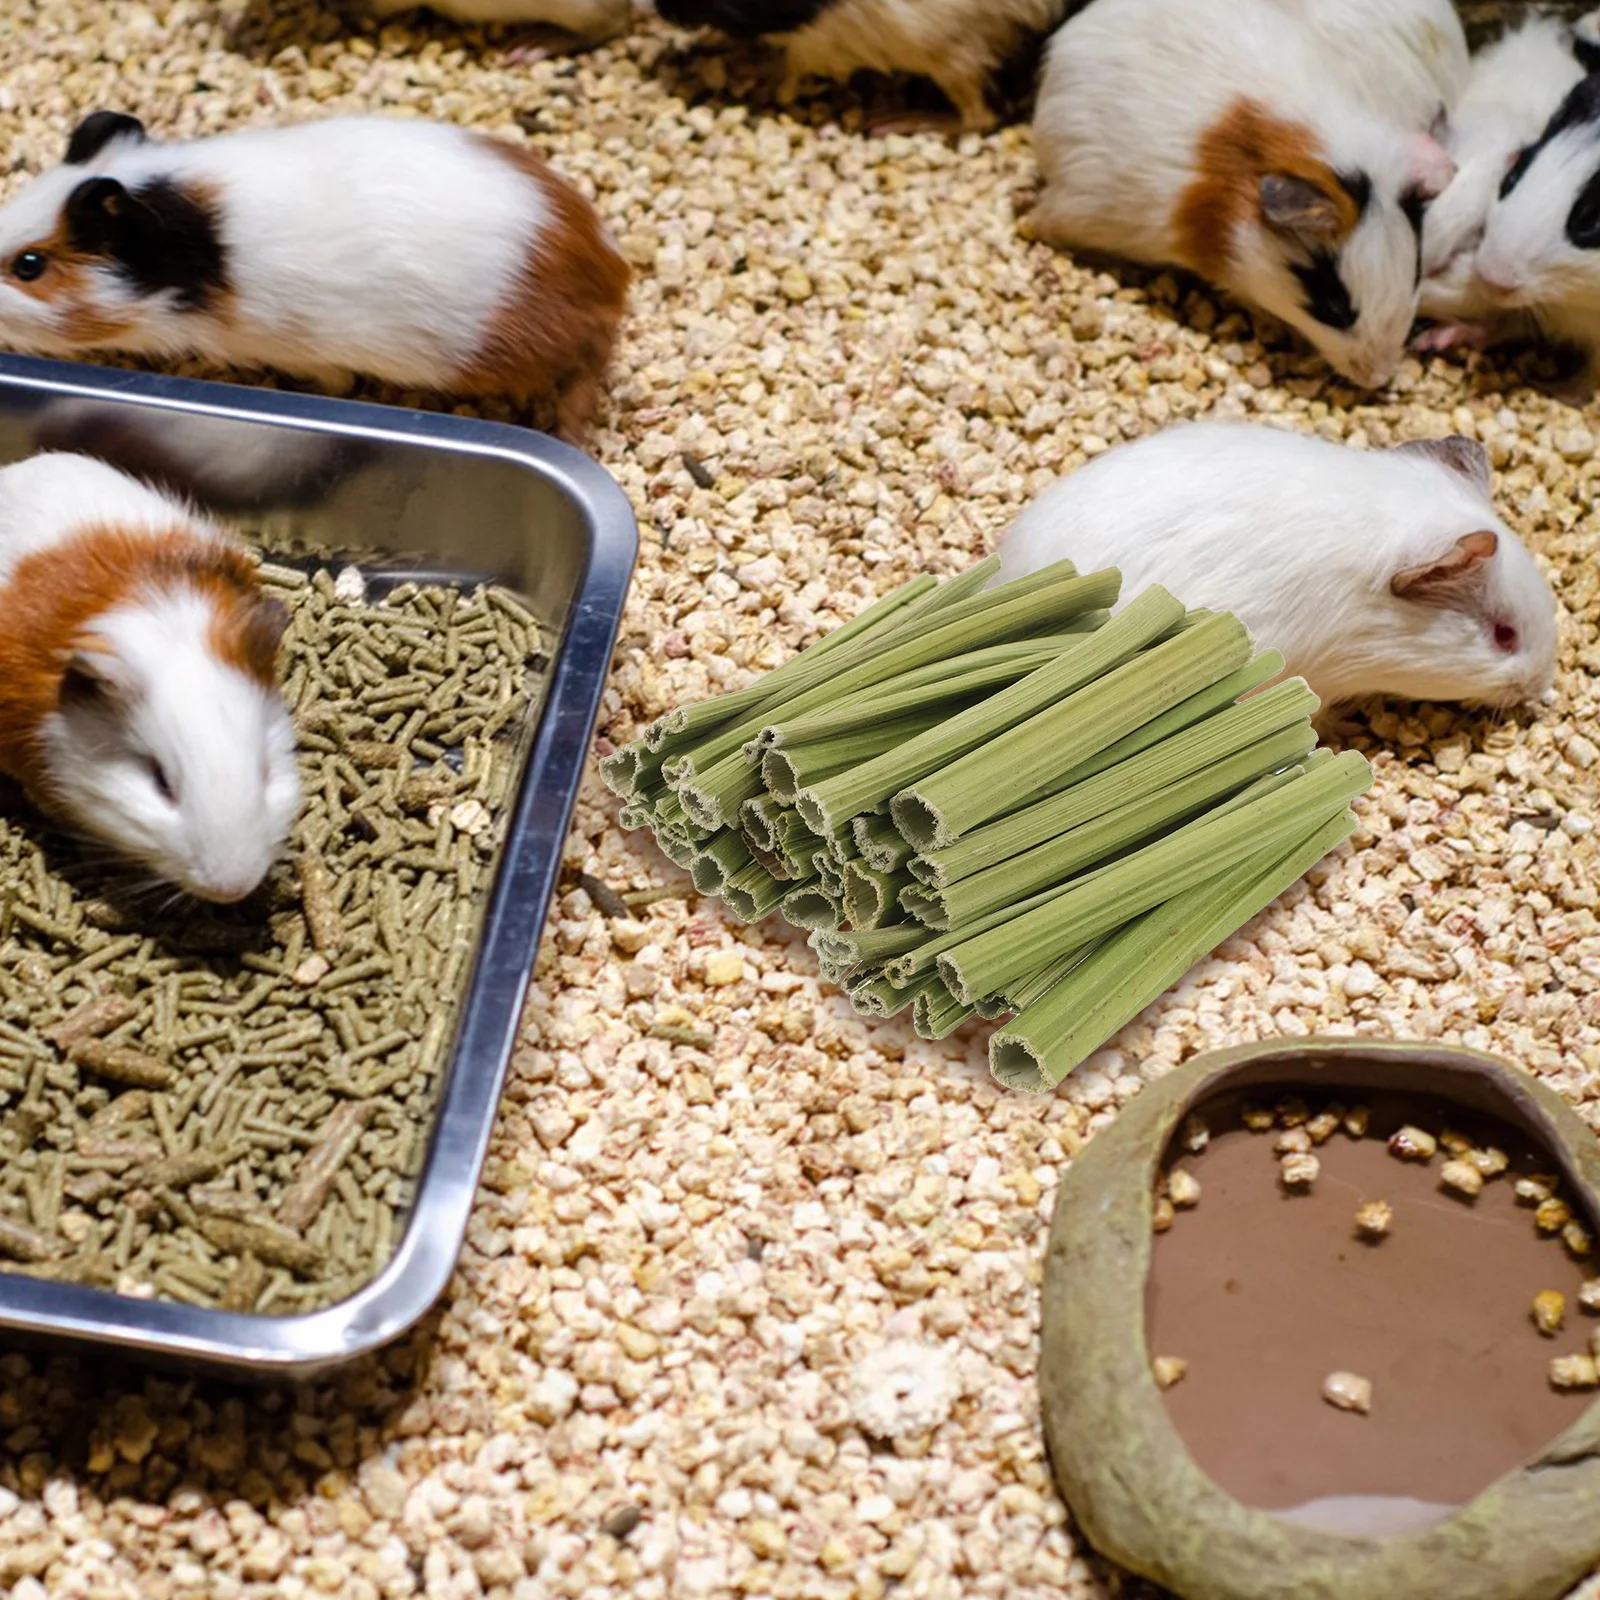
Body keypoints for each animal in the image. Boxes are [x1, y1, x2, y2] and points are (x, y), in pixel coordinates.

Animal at [654, 0, 1071, 132]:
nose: (663, 10)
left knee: (981, 117)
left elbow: (787, 69)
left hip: (956, 59)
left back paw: (894, 121)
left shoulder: (822, 38)